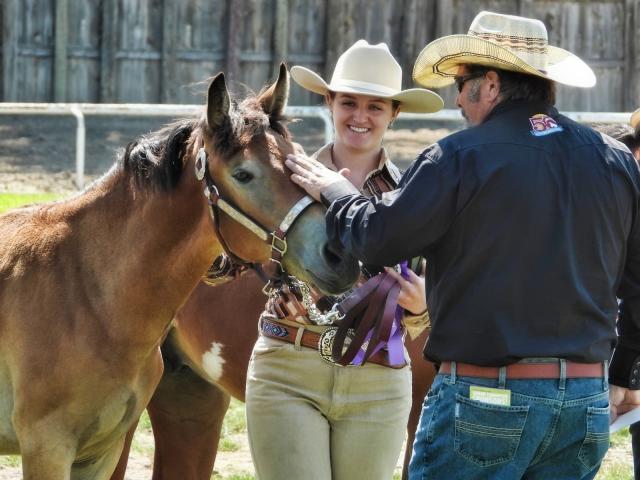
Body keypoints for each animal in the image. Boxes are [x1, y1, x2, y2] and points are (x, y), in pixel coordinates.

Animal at [0, 64, 360, 480]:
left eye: (297, 157)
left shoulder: (99, 453)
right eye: (243, 174)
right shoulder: (48, 449)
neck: (82, 289)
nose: (339, 252)